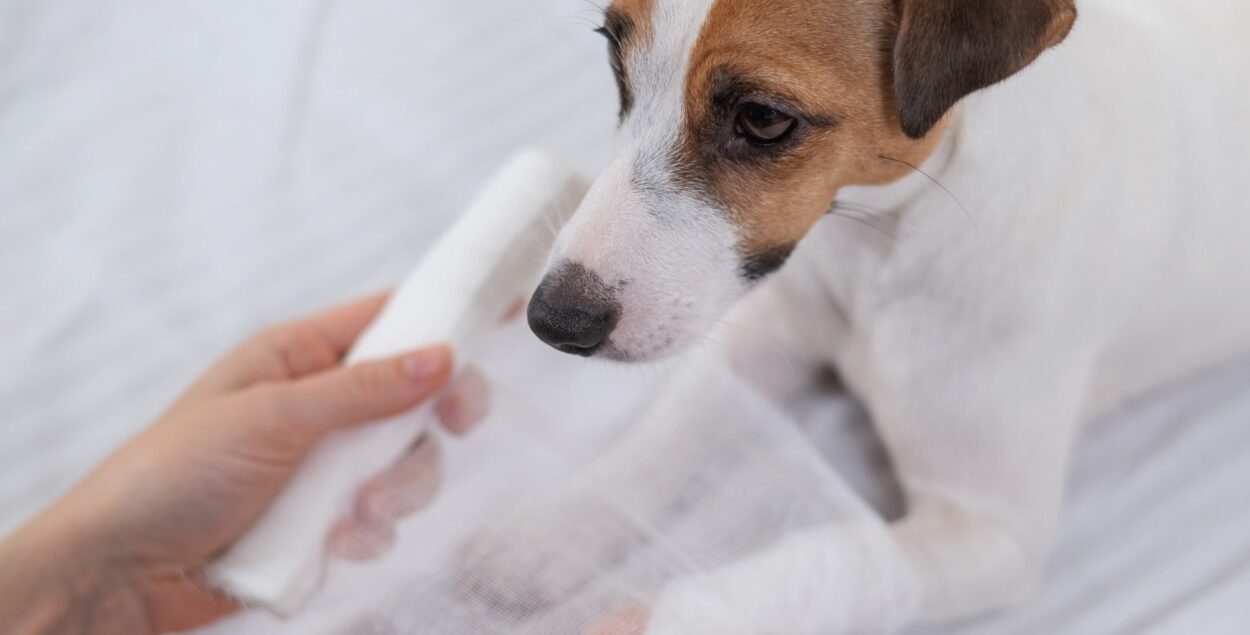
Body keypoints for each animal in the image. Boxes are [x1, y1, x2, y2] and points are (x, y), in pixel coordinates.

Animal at [522, 0, 1250, 632]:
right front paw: (549, 533)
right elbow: (663, 438)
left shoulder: (991, 532)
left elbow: (831, 557)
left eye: (762, 118)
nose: (553, 320)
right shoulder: (767, 340)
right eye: (614, 57)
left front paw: (673, 616)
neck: (886, 243)